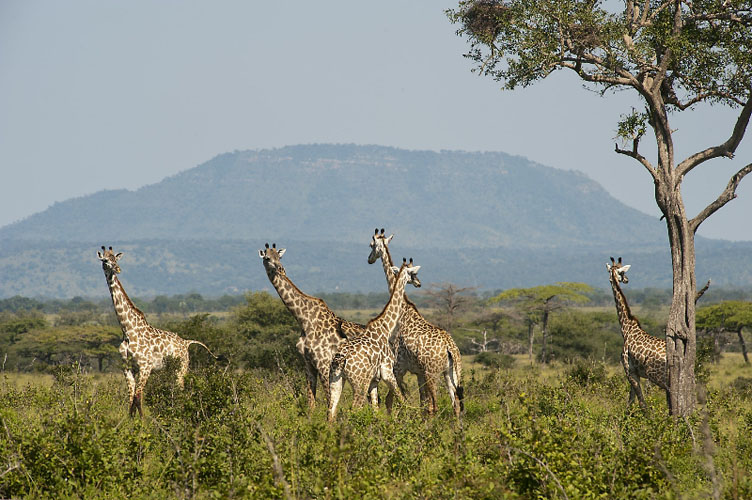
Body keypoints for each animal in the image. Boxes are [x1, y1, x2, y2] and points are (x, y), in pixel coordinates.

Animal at [96, 247, 214, 418]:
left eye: (116, 259)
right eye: (105, 260)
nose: (117, 269)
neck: (127, 330)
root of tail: (186, 343)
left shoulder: (145, 366)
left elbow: (138, 397)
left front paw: (142, 422)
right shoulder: (127, 367)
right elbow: (131, 398)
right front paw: (130, 421)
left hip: (182, 368)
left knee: (181, 390)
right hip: (171, 369)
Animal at [260, 243, 368, 410]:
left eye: (279, 257)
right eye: (267, 258)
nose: (279, 268)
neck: (304, 320)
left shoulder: (323, 363)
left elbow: (329, 400)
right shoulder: (308, 363)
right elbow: (311, 402)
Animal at [328, 258, 424, 422]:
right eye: (413, 274)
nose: (419, 283)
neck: (385, 328)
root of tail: (341, 359)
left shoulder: (374, 380)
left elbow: (375, 408)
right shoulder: (388, 371)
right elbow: (400, 398)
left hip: (336, 379)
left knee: (331, 412)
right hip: (359, 382)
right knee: (354, 408)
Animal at [368, 229, 464, 416]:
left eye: (371, 245)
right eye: (414, 274)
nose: (369, 259)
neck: (404, 311)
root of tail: (450, 347)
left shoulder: (399, 367)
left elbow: (391, 401)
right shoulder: (417, 372)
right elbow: (421, 404)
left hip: (432, 372)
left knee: (435, 405)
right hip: (451, 373)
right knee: (455, 403)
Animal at [604, 256, 668, 408]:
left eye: (621, 272)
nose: (627, 279)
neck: (626, 328)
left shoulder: (629, 371)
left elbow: (641, 403)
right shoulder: (636, 373)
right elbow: (630, 403)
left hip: (657, 375)